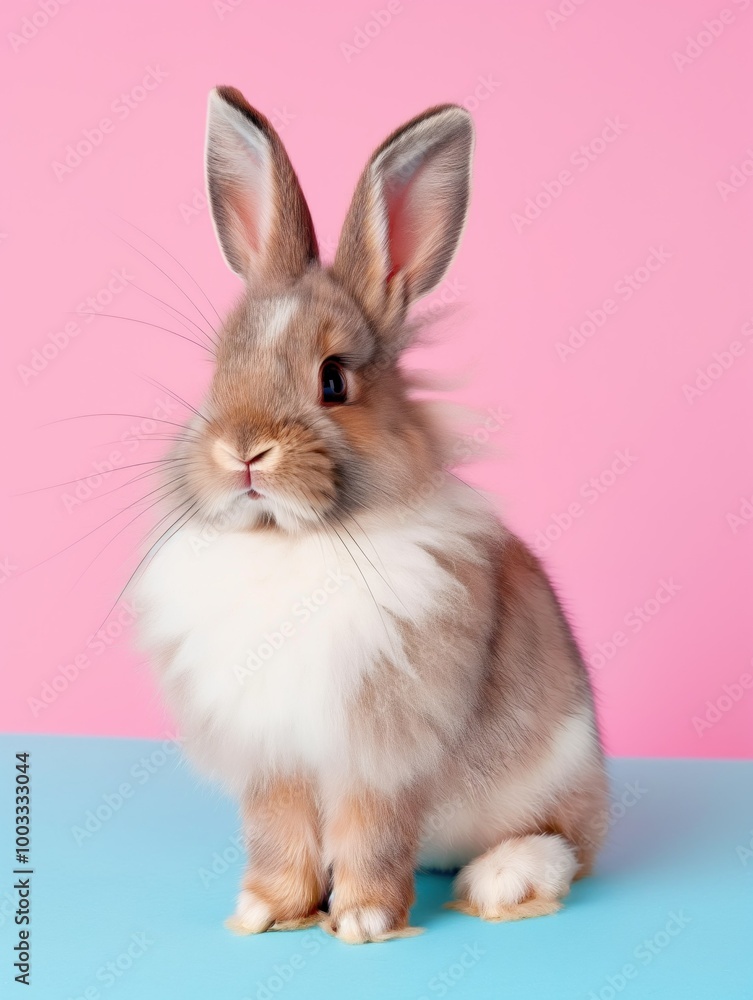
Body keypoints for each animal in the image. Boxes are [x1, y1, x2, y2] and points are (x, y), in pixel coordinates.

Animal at [133, 85, 609, 944]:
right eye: (218, 369)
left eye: (333, 381)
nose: (242, 451)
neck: (290, 542)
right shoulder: (275, 755)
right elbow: (280, 831)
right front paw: (267, 910)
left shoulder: (380, 751)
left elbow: (372, 830)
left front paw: (362, 919)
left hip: (555, 776)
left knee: (565, 844)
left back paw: (502, 881)